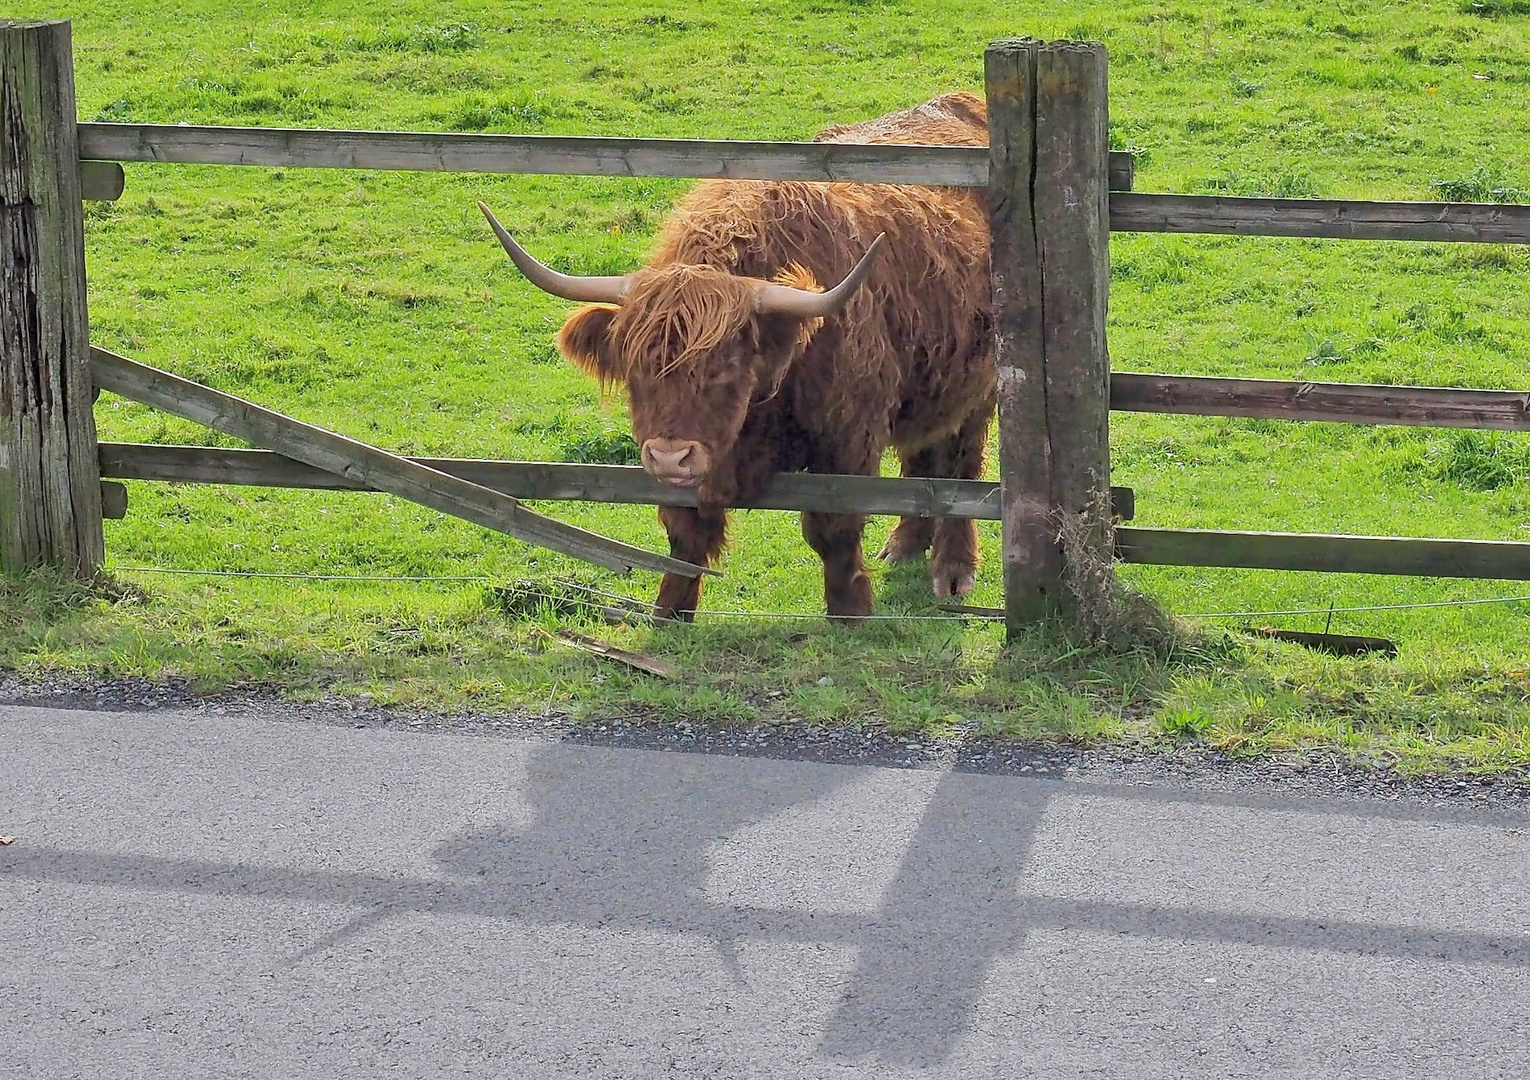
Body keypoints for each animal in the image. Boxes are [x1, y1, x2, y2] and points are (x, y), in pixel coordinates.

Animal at [483, 93, 997, 624]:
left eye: (727, 370)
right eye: (636, 370)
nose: (669, 456)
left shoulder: (847, 440)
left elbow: (833, 529)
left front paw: (849, 613)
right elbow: (685, 537)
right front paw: (670, 614)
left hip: (983, 384)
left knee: (961, 466)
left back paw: (952, 570)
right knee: (924, 457)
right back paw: (904, 544)